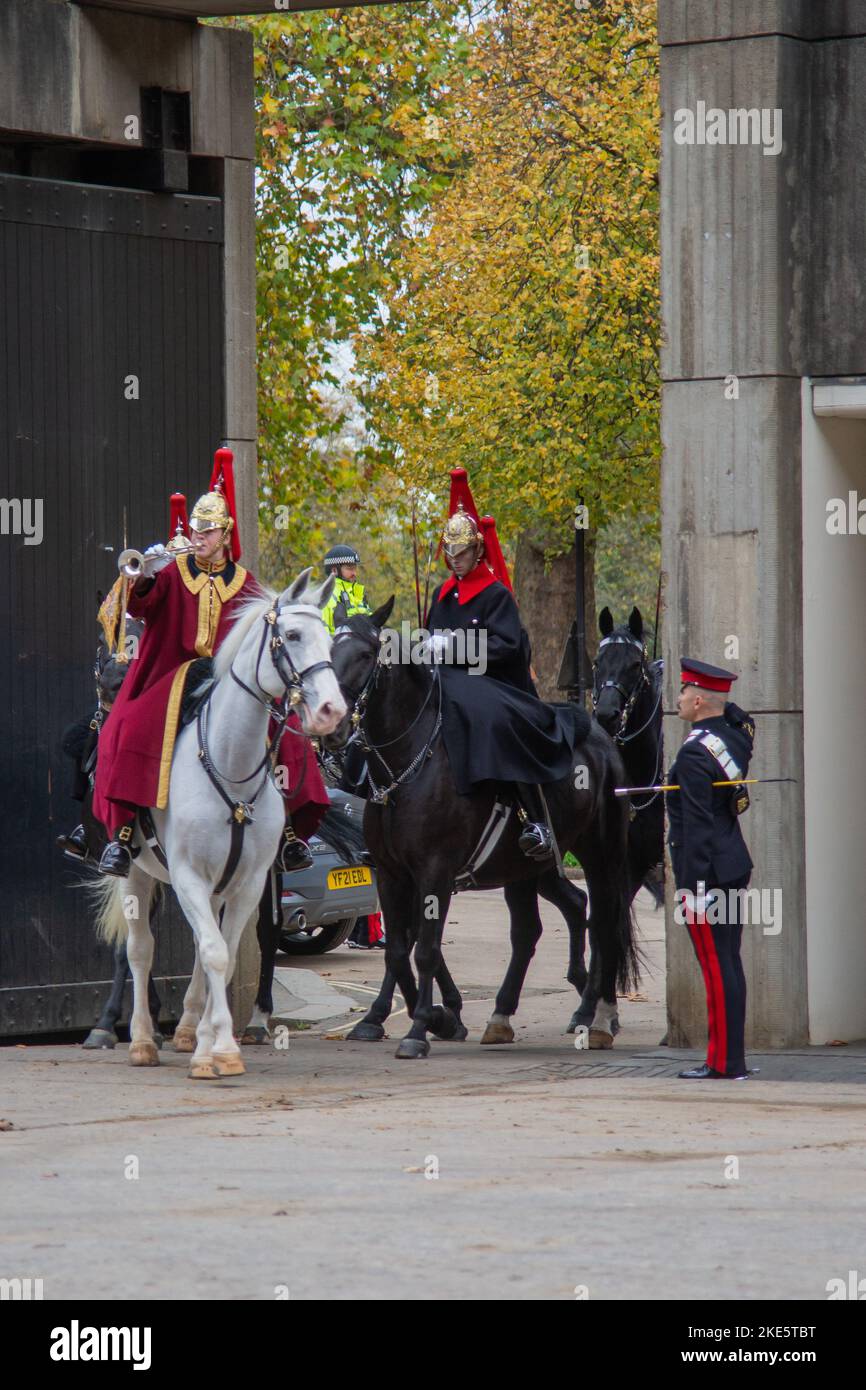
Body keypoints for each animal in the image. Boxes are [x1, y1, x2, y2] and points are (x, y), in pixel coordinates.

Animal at [93, 569, 346, 1078]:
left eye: (330, 639)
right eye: (292, 635)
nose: (332, 711)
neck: (230, 762)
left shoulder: (247, 882)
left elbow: (222, 958)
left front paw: (214, 1045)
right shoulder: (189, 875)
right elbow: (212, 951)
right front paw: (220, 1047)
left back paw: (189, 1029)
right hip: (138, 873)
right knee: (140, 949)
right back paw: (142, 1039)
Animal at [325, 603, 636, 1056]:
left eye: (366, 654)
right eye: (329, 650)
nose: (331, 725)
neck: (408, 766)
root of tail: (599, 733)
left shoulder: (434, 872)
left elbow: (425, 949)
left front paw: (421, 1027)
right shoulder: (391, 873)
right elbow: (399, 949)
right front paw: (412, 1018)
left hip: (601, 852)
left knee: (603, 924)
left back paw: (597, 1018)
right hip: (526, 868)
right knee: (536, 927)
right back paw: (505, 1016)